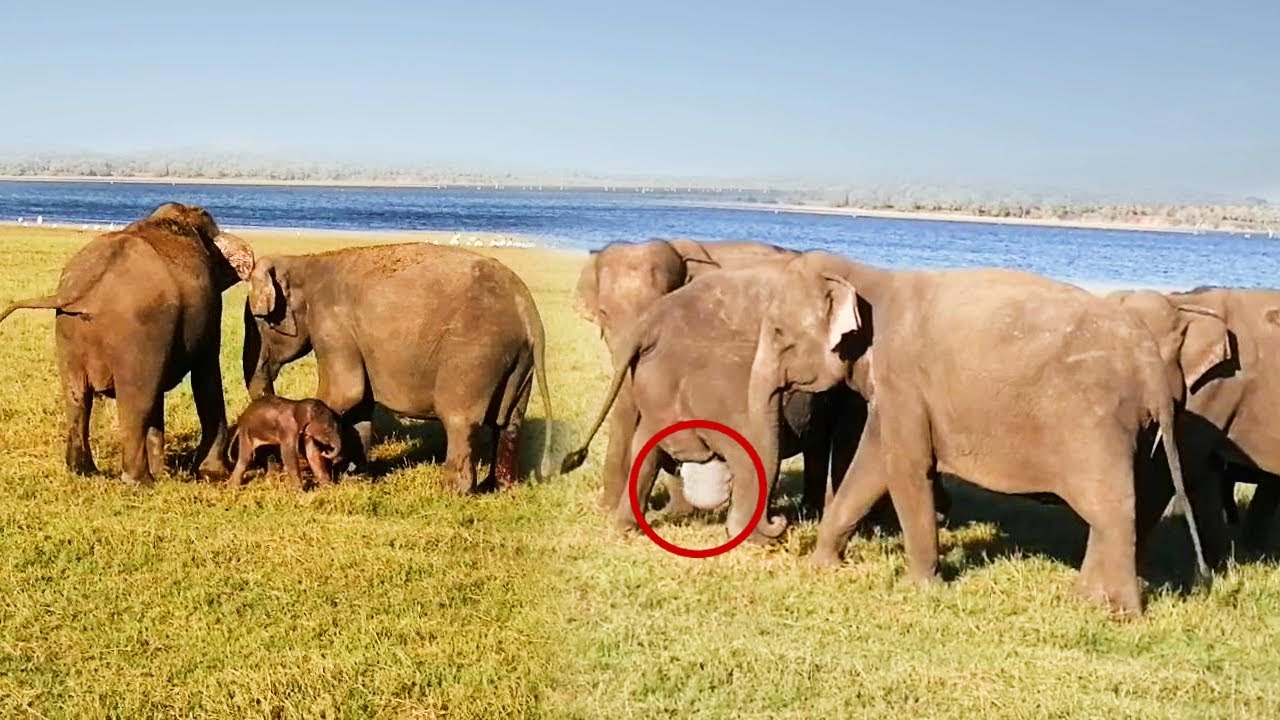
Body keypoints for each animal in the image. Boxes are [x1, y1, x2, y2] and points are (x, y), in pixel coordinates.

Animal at [0, 202, 254, 485]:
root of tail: (87, 283)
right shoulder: (209, 314)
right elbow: (207, 374)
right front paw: (212, 474)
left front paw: (166, 473)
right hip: (137, 332)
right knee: (136, 403)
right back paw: (140, 481)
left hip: (69, 329)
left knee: (78, 397)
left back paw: (85, 471)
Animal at [242, 243, 554, 492]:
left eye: (258, 321)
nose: (269, 468)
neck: (304, 261)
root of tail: (527, 307)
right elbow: (359, 404)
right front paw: (356, 478)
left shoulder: (332, 327)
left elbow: (345, 392)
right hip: (519, 360)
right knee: (509, 422)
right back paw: (500, 488)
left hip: (475, 353)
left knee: (459, 419)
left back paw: (452, 491)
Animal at [746, 251, 1207, 615]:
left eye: (778, 334)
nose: (780, 524)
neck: (870, 276)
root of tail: (1151, 365)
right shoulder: (896, 392)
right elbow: (872, 465)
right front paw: (823, 566)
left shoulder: (903, 374)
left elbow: (907, 468)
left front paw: (922, 588)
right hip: (1138, 430)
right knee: (1121, 505)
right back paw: (1087, 599)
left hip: (1097, 420)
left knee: (1112, 506)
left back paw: (1121, 613)